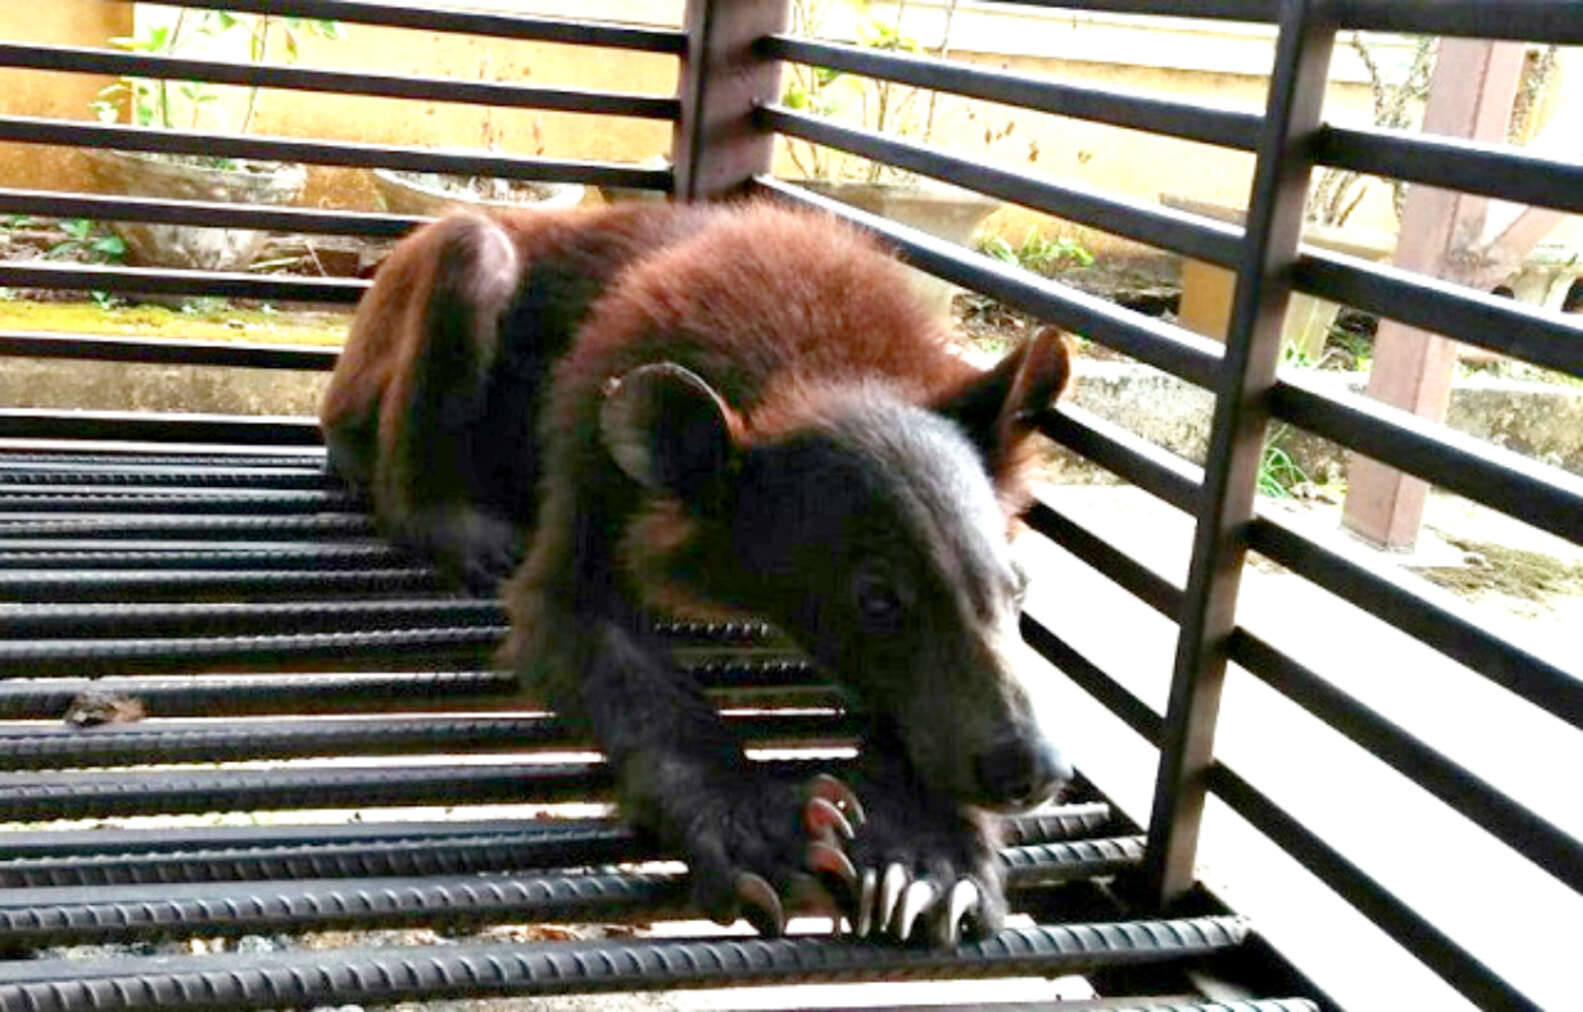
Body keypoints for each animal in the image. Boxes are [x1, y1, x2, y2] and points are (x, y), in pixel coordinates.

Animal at [327, 199, 1082, 950]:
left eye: (1020, 586)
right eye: (876, 600)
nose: (1033, 770)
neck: (816, 352)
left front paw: (928, 860)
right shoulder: (594, 446)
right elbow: (584, 624)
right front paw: (766, 836)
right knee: (464, 264)